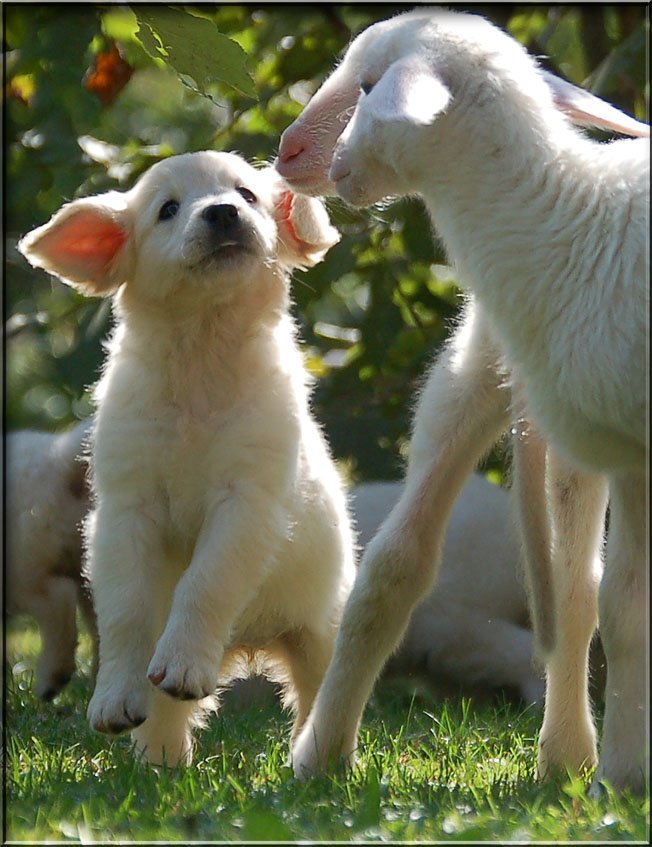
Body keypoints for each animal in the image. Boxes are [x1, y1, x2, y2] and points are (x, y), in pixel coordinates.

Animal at [19, 151, 356, 768]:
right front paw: (113, 698)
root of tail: (245, 645)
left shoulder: (247, 503)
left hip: (321, 627)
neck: (202, 353)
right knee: (166, 707)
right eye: (167, 210)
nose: (222, 213)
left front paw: (182, 663)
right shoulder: (124, 510)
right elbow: (126, 611)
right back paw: (159, 763)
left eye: (247, 195)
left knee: (323, 690)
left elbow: (205, 581)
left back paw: (323, 762)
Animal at [278, 4, 648, 796]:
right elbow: (624, 601)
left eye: (369, 85)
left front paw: (625, 775)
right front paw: (626, 776)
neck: (578, 217)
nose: (291, 151)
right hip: (487, 381)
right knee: (416, 568)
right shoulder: (619, 440)